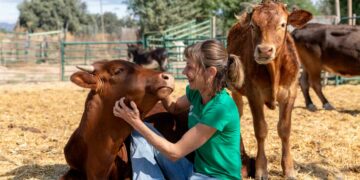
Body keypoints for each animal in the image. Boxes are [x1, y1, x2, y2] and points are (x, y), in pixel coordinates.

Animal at [228, 0, 312, 179]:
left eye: (283, 24)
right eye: (253, 25)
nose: (264, 50)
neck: (273, 70)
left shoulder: (290, 93)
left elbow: (284, 129)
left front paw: (288, 169)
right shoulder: (254, 95)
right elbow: (261, 130)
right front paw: (261, 169)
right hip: (235, 90)